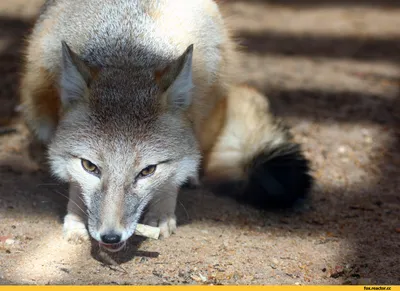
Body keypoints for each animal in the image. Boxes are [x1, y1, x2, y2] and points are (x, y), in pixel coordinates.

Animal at [19, 0, 312, 253]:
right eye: (90, 167)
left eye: (147, 171)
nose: (111, 237)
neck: (129, 46)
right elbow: (72, 180)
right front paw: (77, 216)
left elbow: (176, 171)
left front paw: (161, 212)